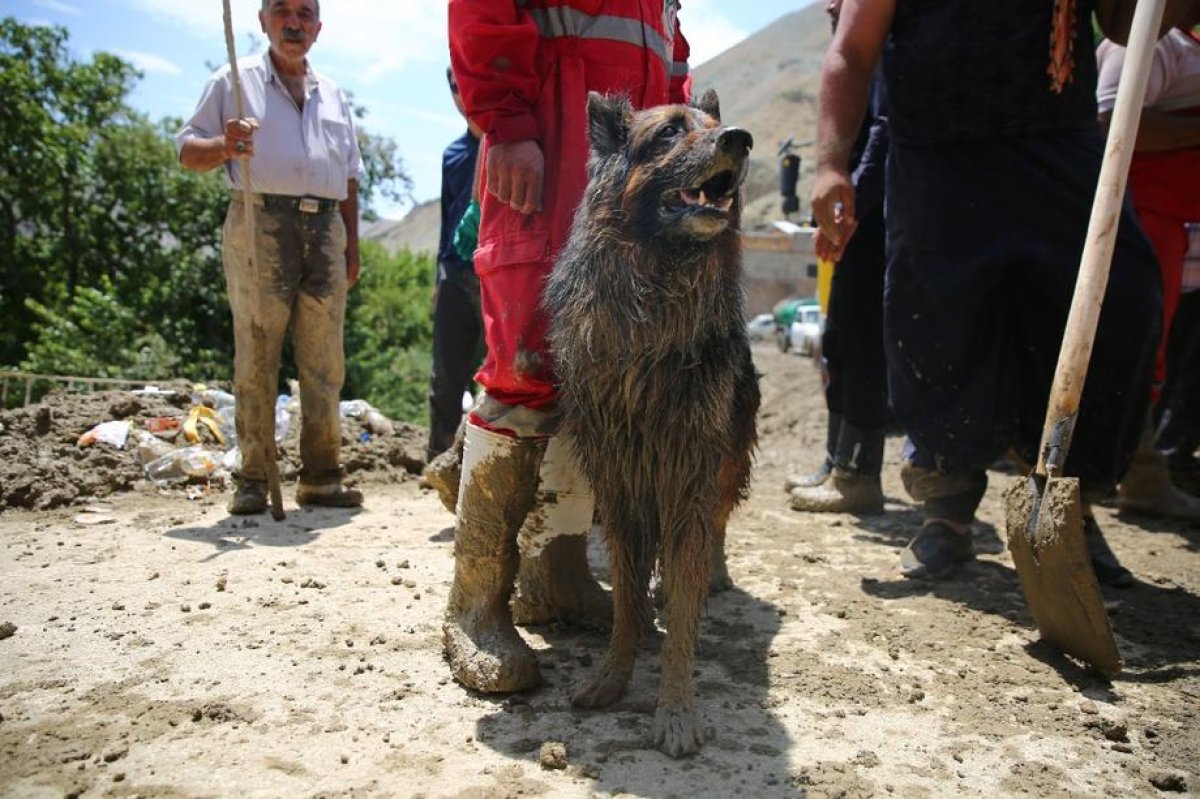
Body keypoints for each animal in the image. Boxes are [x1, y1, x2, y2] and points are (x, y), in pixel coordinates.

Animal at [547, 89, 758, 758]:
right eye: (668, 132)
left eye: (716, 126)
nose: (740, 139)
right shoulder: (619, 483)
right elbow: (627, 599)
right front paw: (614, 676)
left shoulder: (687, 475)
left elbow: (683, 606)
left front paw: (676, 709)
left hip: (726, 464)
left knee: (716, 531)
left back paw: (712, 580)